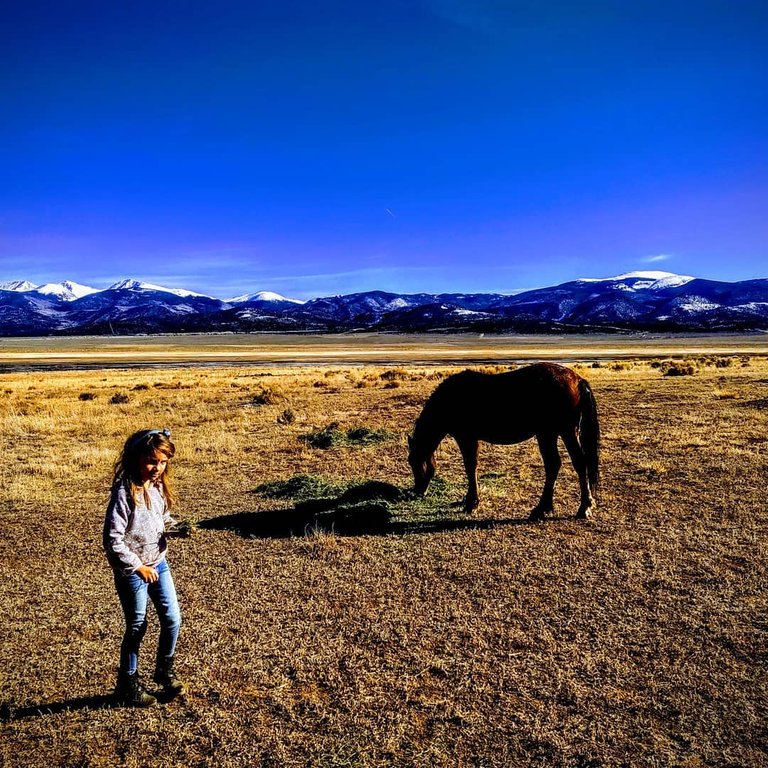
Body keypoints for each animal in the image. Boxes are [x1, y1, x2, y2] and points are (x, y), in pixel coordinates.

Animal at [408, 362, 600, 520]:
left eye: (412, 461)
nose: (418, 491)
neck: (449, 400)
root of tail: (578, 380)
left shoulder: (466, 437)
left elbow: (470, 466)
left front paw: (471, 502)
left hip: (564, 431)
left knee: (578, 463)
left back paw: (583, 508)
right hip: (549, 433)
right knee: (554, 464)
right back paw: (544, 508)